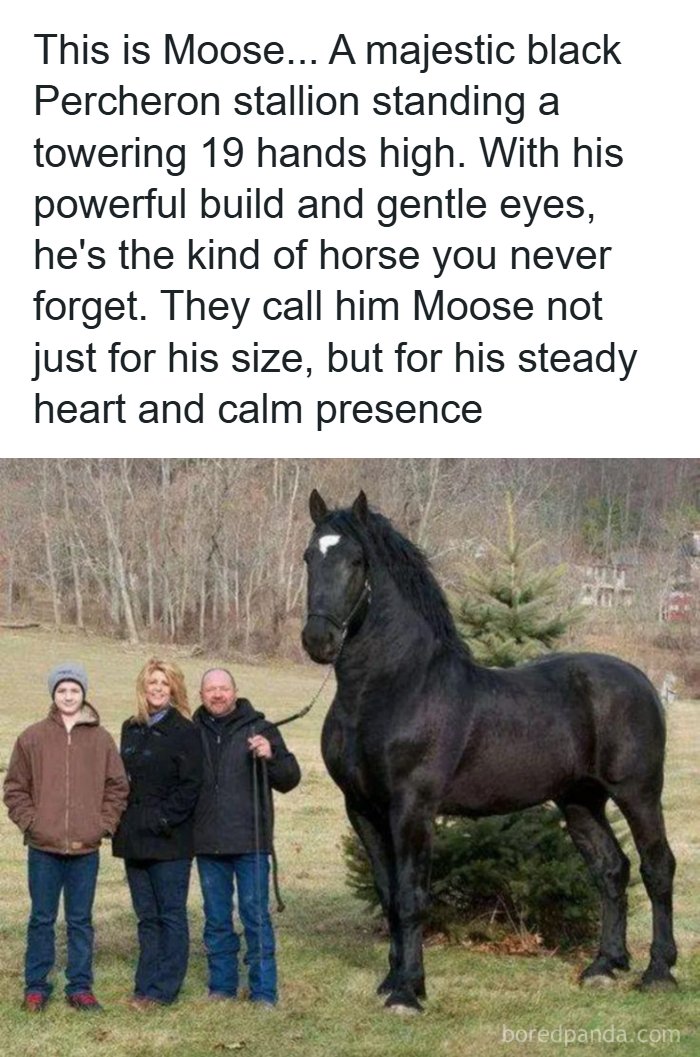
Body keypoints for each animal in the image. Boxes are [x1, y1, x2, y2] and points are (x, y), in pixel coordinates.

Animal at [301, 490, 677, 1013]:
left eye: (356, 561)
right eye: (309, 557)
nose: (318, 640)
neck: (393, 688)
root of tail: (641, 680)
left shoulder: (412, 808)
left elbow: (412, 897)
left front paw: (408, 992)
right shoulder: (362, 809)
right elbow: (388, 894)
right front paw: (393, 979)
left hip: (638, 793)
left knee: (657, 867)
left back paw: (658, 971)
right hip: (581, 801)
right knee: (611, 870)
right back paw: (604, 966)